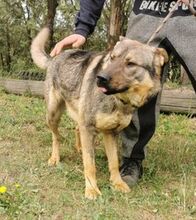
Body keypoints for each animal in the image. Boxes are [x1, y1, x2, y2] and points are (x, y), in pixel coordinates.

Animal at [31, 27, 168, 199]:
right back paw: (55, 158)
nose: (100, 78)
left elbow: (114, 163)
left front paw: (117, 183)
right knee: (56, 137)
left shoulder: (111, 133)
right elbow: (90, 164)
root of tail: (54, 58)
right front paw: (91, 189)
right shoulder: (89, 128)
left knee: (76, 128)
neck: (119, 101)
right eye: (112, 58)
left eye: (130, 63)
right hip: (53, 114)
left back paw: (80, 148)